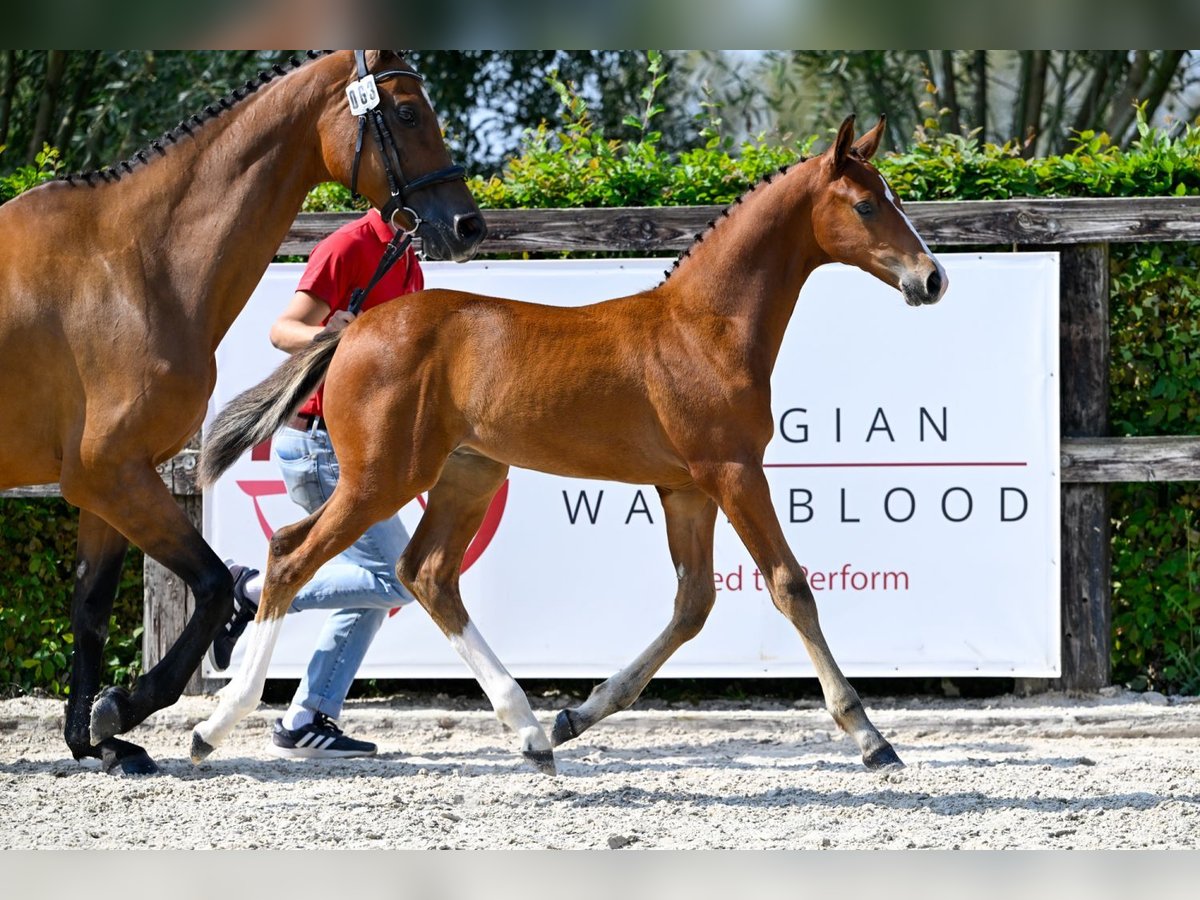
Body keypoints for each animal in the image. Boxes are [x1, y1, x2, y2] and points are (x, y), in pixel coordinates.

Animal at [194, 114, 945, 777]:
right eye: (866, 205)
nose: (932, 278)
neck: (706, 327)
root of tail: (350, 331)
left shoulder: (686, 489)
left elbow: (692, 605)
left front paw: (575, 716)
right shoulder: (733, 473)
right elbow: (790, 587)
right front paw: (870, 737)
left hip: (470, 475)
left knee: (425, 572)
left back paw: (530, 731)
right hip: (381, 478)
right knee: (291, 555)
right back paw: (215, 723)